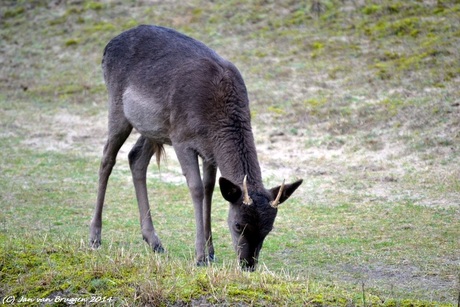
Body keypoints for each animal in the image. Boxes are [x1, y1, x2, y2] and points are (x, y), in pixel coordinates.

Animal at [90, 24, 306, 272]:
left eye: (268, 229)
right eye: (238, 224)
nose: (248, 265)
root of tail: (108, 46)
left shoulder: (209, 151)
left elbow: (209, 188)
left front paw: (211, 252)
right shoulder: (182, 139)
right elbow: (196, 188)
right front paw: (200, 256)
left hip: (154, 127)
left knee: (136, 158)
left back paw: (154, 241)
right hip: (118, 107)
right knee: (107, 159)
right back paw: (94, 237)